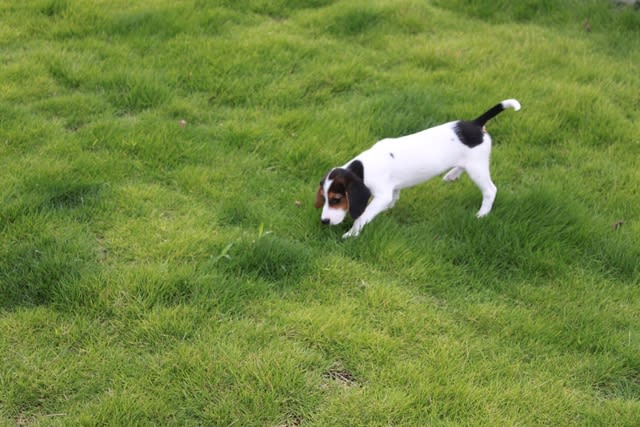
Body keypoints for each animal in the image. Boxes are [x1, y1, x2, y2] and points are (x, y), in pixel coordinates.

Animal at [316, 99, 520, 239]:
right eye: (324, 198)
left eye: (337, 199)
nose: (324, 221)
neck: (362, 169)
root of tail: (475, 124)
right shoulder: (392, 188)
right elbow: (394, 196)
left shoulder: (381, 195)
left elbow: (363, 215)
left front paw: (351, 233)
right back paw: (451, 175)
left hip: (477, 167)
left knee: (490, 190)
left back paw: (482, 214)